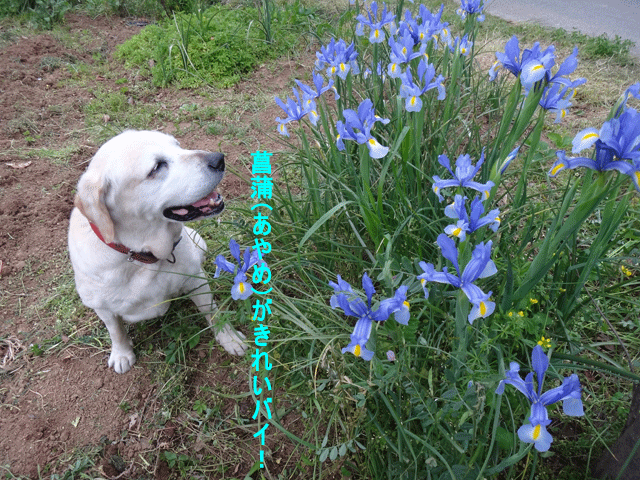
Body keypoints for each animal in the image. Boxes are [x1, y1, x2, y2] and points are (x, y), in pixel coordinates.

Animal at [69, 131, 246, 376]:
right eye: (157, 167)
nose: (219, 159)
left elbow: (214, 312)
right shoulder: (102, 308)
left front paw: (230, 338)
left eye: (178, 146)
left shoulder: (197, 280)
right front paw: (122, 353)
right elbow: (116, 331)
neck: (142, 256)